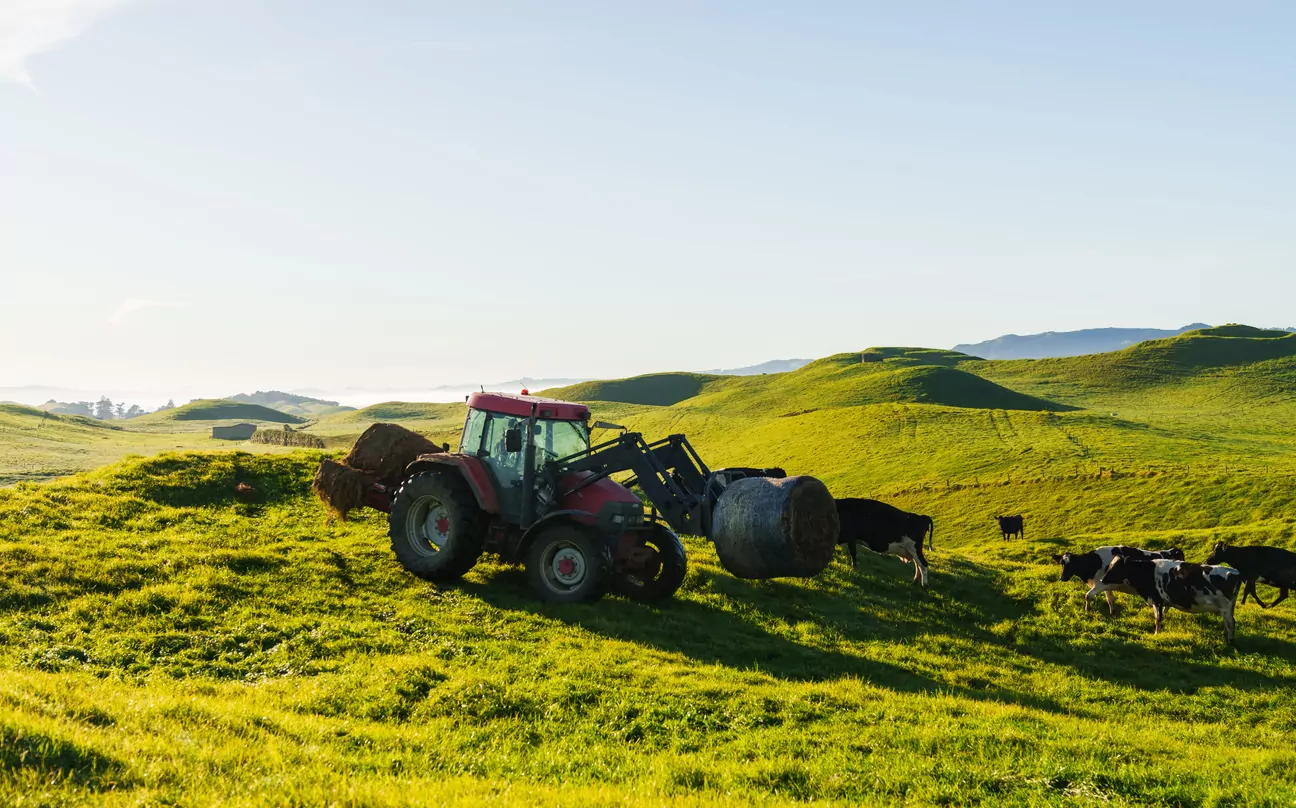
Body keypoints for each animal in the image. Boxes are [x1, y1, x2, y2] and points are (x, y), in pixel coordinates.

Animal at [1052, 547, 1187, 617]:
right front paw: (1112, 613)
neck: (1095, 562)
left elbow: (1088, 595)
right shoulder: (1106, 585)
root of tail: (1173, 550)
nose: (1062, 578)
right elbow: (1110, 599)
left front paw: (1087, 610)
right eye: (1062, 563)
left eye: (1071, 564)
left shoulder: (1100, 584)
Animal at [1099, 560, 1238, 648]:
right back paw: (1226, 638)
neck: (1148, 572)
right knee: (1228, 623)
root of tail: (1234, 572)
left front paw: (1156, 634)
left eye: (1116, 567)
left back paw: (1230, 641)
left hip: (1225, 607)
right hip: (1228, 608)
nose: (1102, 579)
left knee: (1230, 623)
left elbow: (1158, 619)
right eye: (1110, 565)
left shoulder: (1157, 600)